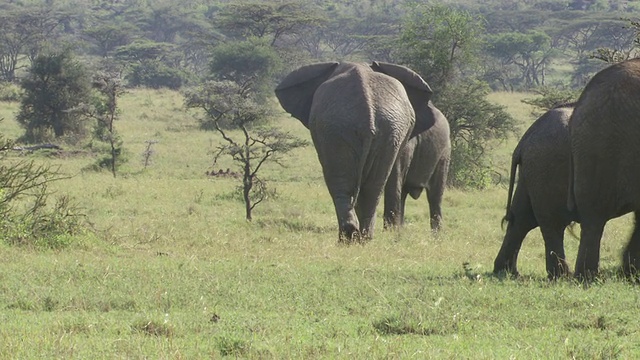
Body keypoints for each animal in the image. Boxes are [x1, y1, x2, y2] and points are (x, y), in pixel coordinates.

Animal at [272, 61, 432, 242]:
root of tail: (367, 115)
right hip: (362, 129)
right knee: (369, 187)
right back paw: (360, 238)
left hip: (362, 129)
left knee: (342, 184)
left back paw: (349, 238)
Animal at [492, 104, 576, 278]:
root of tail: (523, 142)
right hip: (550, 167)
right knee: (553, 222)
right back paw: (563, 276)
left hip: (532, 171)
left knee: (521, 219)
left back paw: (508, 272)